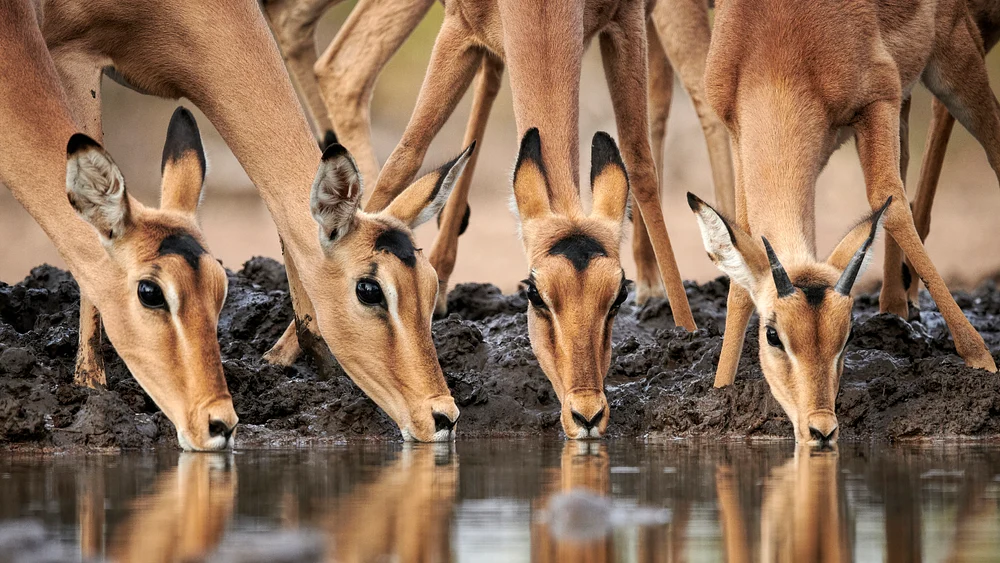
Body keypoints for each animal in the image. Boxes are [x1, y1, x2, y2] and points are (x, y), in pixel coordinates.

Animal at [260, 0, 734, 314]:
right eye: (533, 291)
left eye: (616, 295)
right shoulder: (459, 28)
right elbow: (406, 156)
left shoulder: (628, 17)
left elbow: (640, 159)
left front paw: (684, 320)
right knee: (342, 66)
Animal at [691, 0, 998, 444]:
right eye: (772, 334)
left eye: (849, 334)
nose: (820, 427)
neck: (778, 53)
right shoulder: (737, 134)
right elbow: (740, 257)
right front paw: (721, 386)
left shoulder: (879, 101)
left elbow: (891, 203)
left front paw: (980, 358)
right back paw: (897, 307)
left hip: (956, 55)